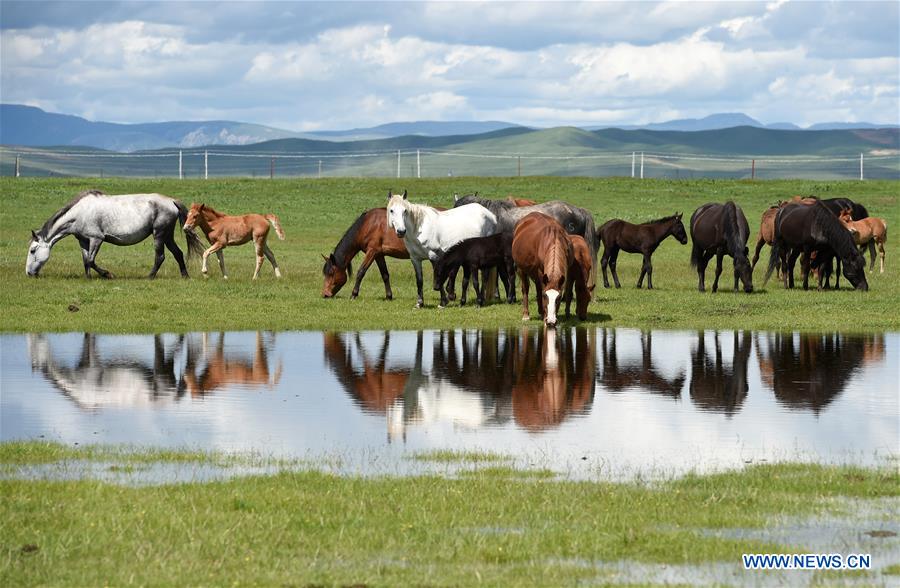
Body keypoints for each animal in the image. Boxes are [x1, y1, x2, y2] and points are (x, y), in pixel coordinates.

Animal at [26, 190, 204, 278]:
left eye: (33, 250)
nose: (28, 273)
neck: (80, 212)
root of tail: (172, 201)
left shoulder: (96, 239)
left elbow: (91, 261)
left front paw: (108, 274)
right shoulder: (83, 241)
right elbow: (85, 261)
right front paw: (88, 278)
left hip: (159, 234)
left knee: (160, 257)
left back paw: (150, 277)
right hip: (167, 235)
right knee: (178, 253)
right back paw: (185, 276)